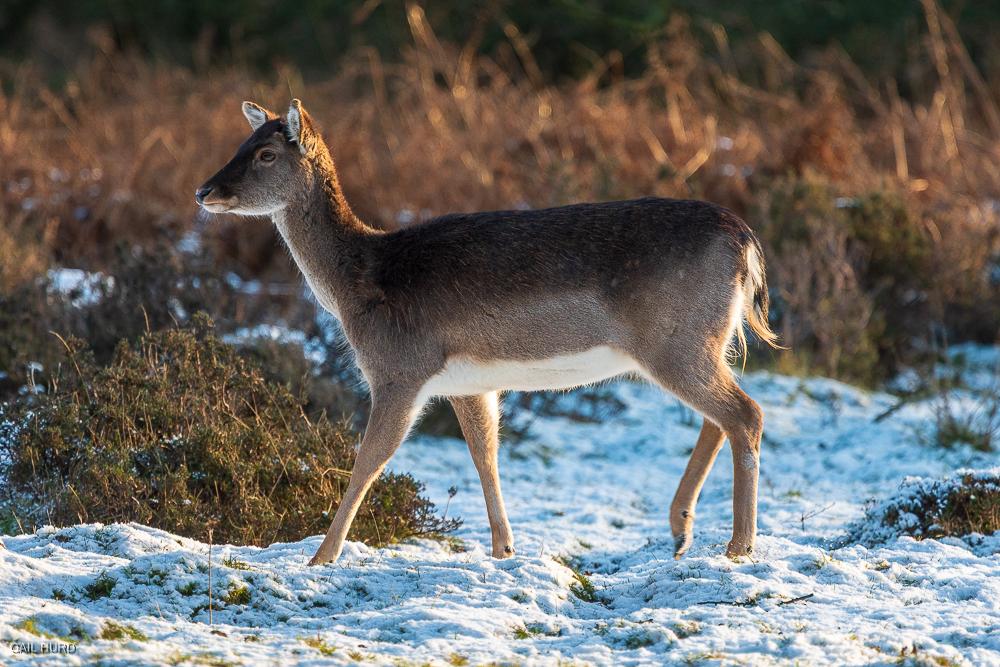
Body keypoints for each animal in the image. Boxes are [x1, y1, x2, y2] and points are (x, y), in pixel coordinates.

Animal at [196, 99, 780, 566]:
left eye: (267, 154)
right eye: (241, 143)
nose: (204, 190)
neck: (360, 284)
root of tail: (748, 244)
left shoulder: (399, 368)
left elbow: (369, 459)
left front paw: (321, 556)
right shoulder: (469, 383)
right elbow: (485, 453)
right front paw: (504, 548)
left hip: (676, 339)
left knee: (746, 413)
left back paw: (739, 545)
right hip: (701, 340)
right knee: (723, 415)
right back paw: (681, 529)